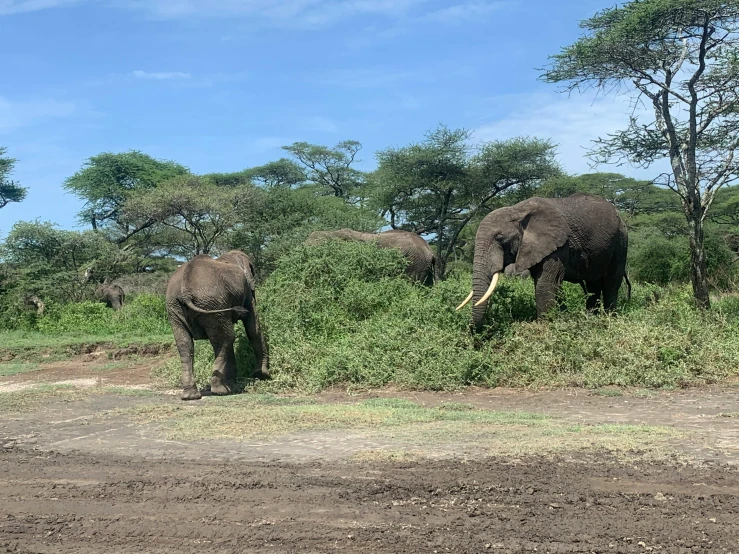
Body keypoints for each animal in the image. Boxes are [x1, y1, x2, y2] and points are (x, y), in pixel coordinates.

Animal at [166, 248, 270, 398]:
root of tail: (185, 293)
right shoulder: (246, 292)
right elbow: (253, 328)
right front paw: (262, 375)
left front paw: (233, 381)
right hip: (211, 303)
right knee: (226, 338)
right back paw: (220, 390)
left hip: (176, 307)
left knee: (185, 345)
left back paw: (191, 395)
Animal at [456, 193, 632, 332]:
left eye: (500, 239)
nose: (473, 332)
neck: (517, 210)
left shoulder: (558, 247)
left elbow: (545, 284)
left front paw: (545, 328)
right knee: (593, 285)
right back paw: (590, 319)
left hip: (620, 241)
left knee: (611, 282)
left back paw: (608, 320)